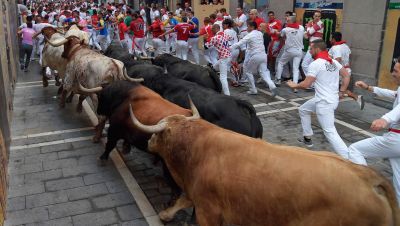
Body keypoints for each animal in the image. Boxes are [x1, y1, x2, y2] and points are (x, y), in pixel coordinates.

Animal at [131, 106, 400, 226]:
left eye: (159, 133)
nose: (148, 141)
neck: (198, 148)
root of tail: (367, 176)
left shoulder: (209, 210)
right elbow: (182, 200)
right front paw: (165, 214)